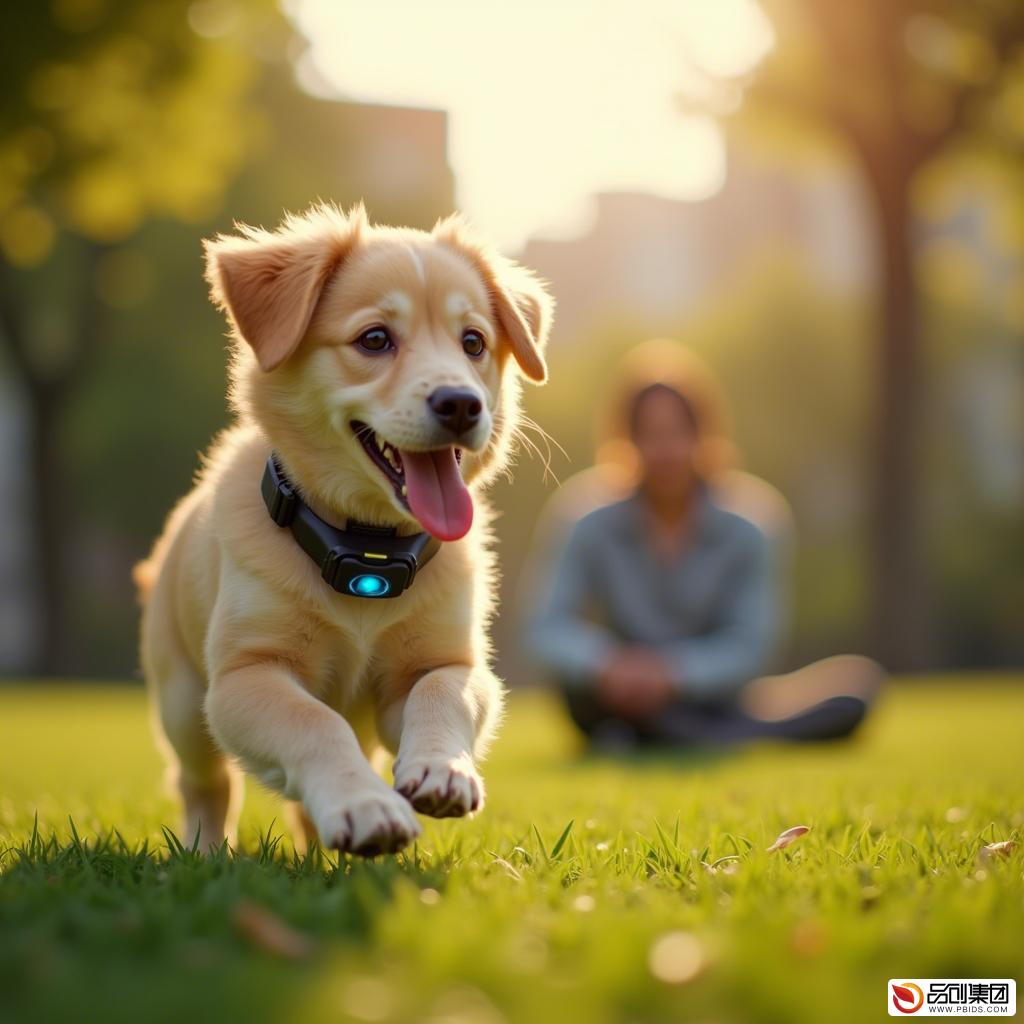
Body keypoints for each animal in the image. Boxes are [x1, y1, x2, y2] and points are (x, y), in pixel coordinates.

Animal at [138, 201, 552, 856]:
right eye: (375, 339)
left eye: (474, 342)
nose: (462, 404)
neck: (367, 550)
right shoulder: (245, 674)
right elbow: (315, 721)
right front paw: (365, 805)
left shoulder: (447, 662)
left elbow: (441, 695)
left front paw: (442, 771)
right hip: (181, 700)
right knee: (204, 784)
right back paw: (205, 852)